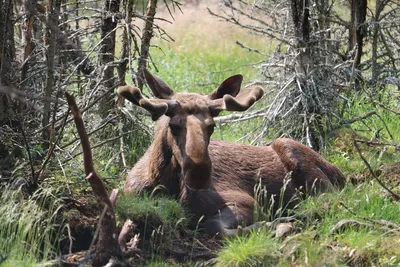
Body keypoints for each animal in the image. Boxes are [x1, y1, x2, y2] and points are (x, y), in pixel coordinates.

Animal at [118, 69, 344, 239]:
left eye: (211, 126)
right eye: (173, 125)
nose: (199, 175)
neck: (161, 183)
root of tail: (340, 173)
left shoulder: (245, 201)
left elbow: (215, 227)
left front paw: (278, 224)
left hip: (294, 152)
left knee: (329, 199)